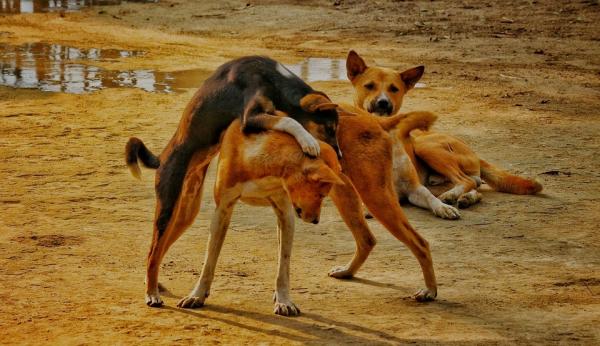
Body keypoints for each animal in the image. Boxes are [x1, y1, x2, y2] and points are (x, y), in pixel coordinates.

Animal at [125, 55, 342, 306]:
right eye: (329, 128)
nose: (340, 157)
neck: (272, 78)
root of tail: (162, 158)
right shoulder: (251, 117)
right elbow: (290, 121)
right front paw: (308, 141)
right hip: (167, 209)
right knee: (153, 251)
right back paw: (152, 293)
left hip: (185, 215)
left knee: (155, 253)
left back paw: (153, 284)